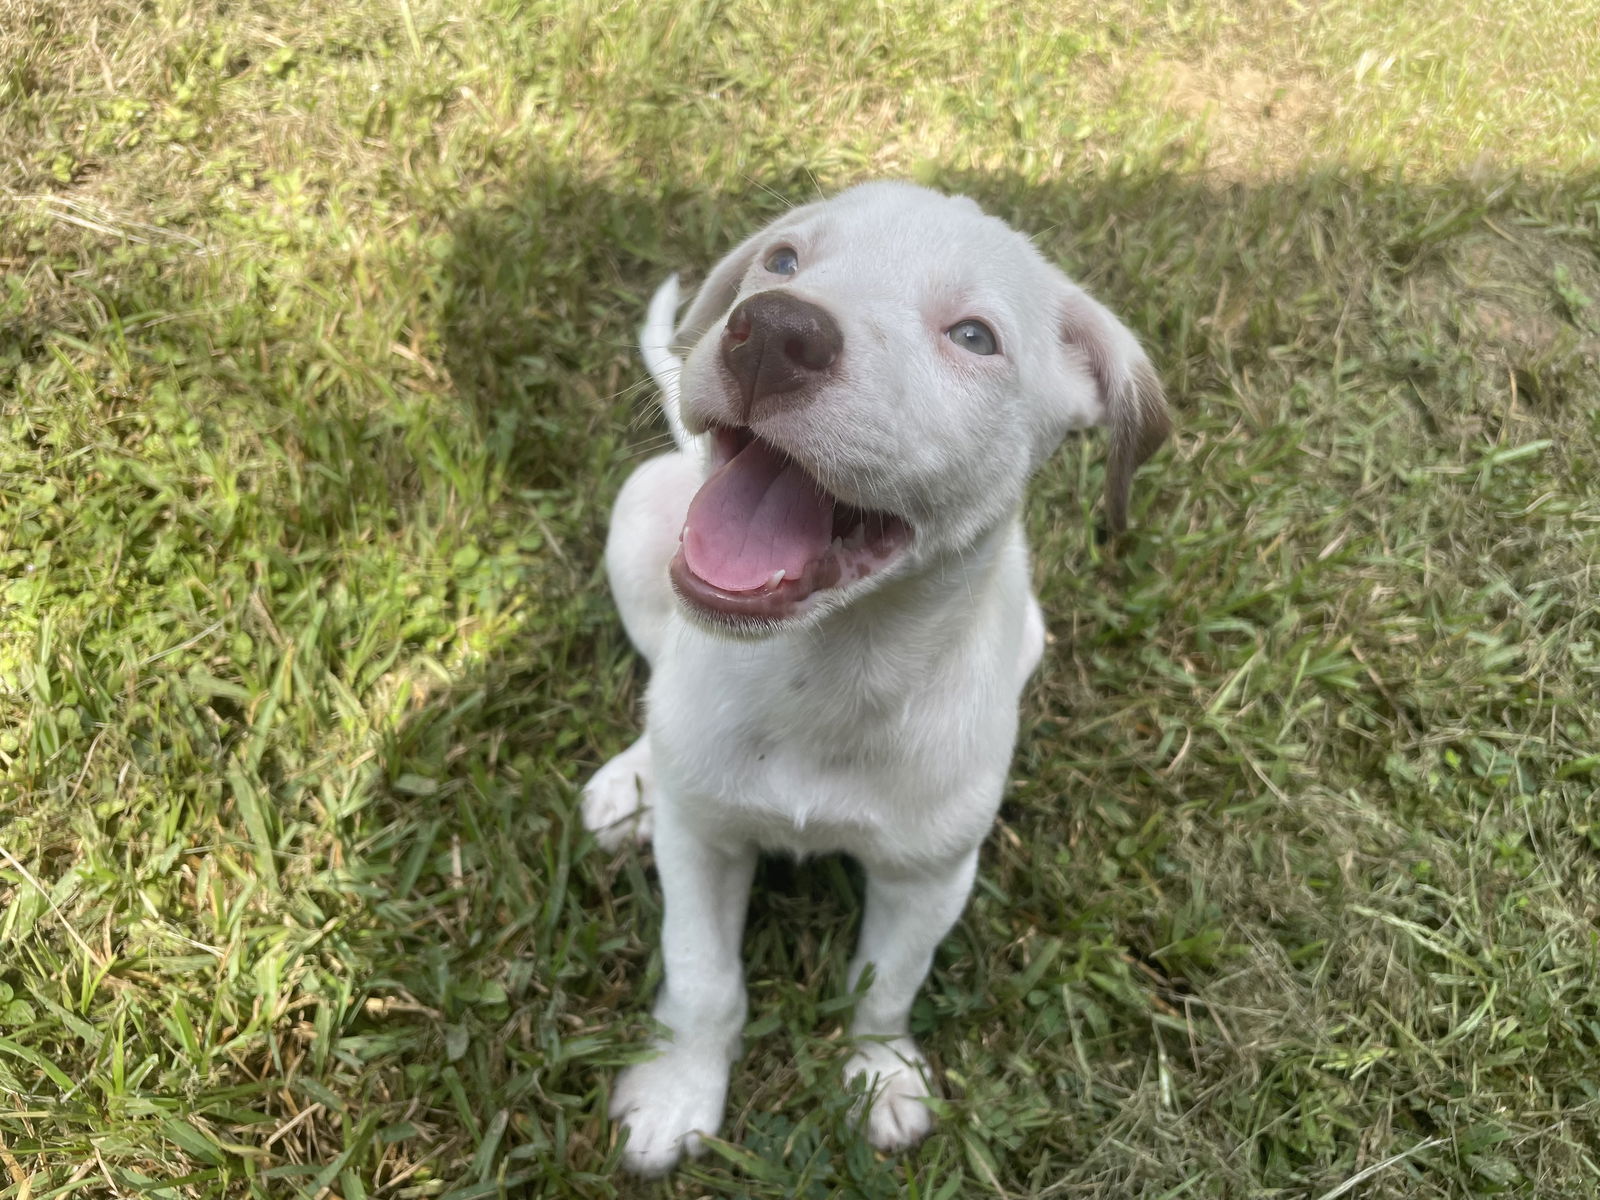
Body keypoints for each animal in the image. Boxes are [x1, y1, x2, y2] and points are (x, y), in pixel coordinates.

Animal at [582, 183, 1171, 1177]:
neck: (828, 668)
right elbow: (703, 977)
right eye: (782, 260)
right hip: (636, 524)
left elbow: (886, 982)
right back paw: (637, 777)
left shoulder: (931, 874)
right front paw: (677, 1090)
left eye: (974, 336)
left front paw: (881, 1077)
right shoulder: (703, 843)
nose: (772, 330)